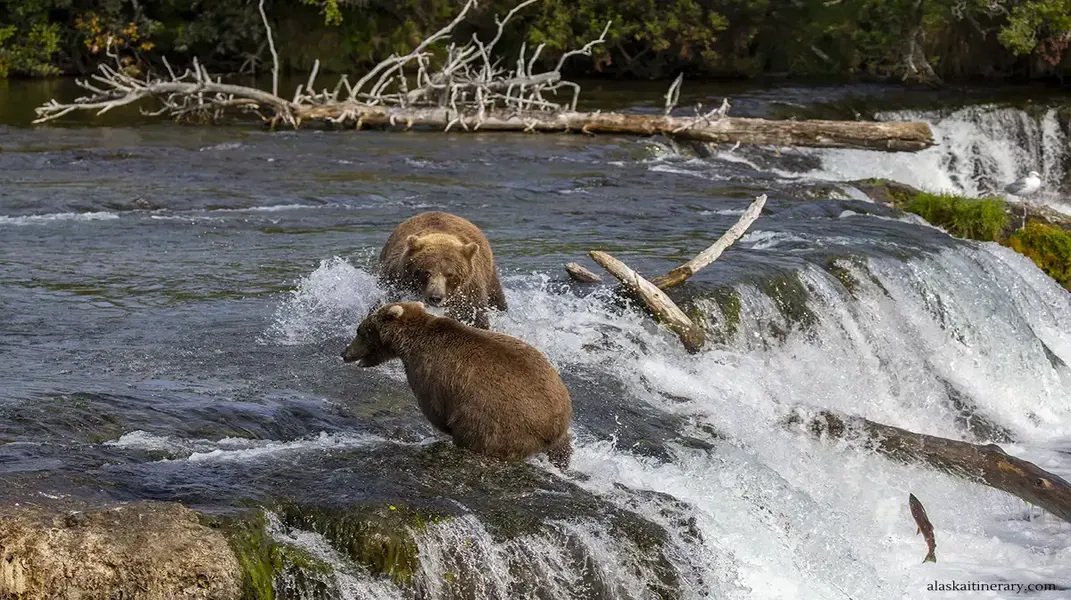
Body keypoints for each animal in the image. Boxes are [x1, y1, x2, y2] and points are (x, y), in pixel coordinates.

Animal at [342, 300, 578, 469]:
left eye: (360, 331)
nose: (344, 353)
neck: (409, 343)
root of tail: (554, 426)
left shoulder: (429, 372)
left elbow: (435, 408)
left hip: (498, 423)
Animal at [376, 211, 509, 330]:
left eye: (450, 274)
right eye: (426, 272)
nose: (435, 297)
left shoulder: (469, 293)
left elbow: (475, 318)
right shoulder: (395, 281)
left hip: (491, 279)